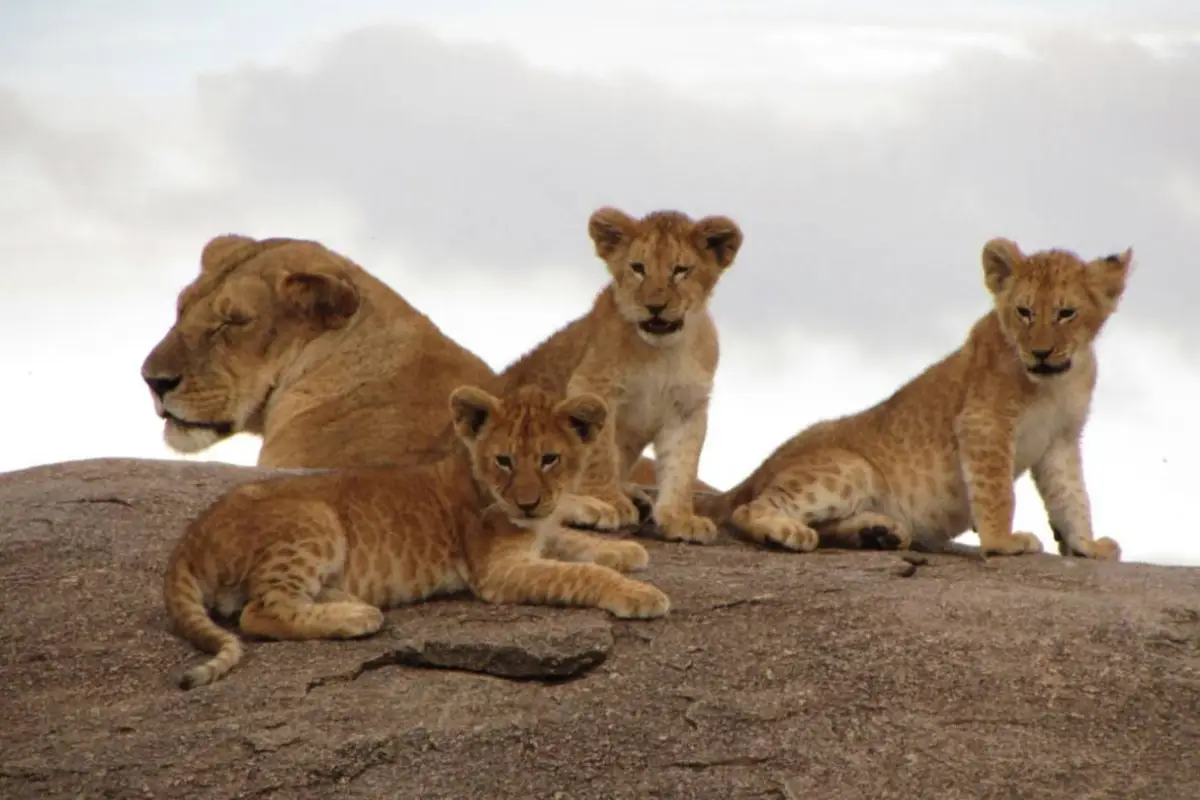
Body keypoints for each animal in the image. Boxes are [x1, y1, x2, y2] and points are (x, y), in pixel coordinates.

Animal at [163, 383, 670, 689]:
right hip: (312, 520)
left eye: (549, 459)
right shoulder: (497, 572)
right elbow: (580, 574)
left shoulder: (537, 532)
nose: (527, 502)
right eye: (504, 460)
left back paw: (343, 600)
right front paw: (639, 594)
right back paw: (356, 617)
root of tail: (189, 539)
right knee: (258, 612)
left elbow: (573, 541)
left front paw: (627, 549)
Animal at [497, 207, 743, 544]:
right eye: (638, 268)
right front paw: (609, 501)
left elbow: (682, 465)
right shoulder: (593, 386)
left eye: (680, 270)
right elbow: (600, 455)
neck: (662, 352)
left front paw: (680, 518)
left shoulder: (688, 407)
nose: (655, 307)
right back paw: (592, 506)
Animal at [694, 238, 1132, 561]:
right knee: (747, 509)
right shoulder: (983, 422)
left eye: (1066, 313)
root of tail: (754, 472)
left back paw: (878, 533)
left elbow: (1072, 496)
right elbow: (997, 492)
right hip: (853, 468)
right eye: (1024, 311)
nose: (1040, 353)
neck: (1057, 381)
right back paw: (789, 533)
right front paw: (1001, 543)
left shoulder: (1061, 439)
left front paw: (1088, 546)